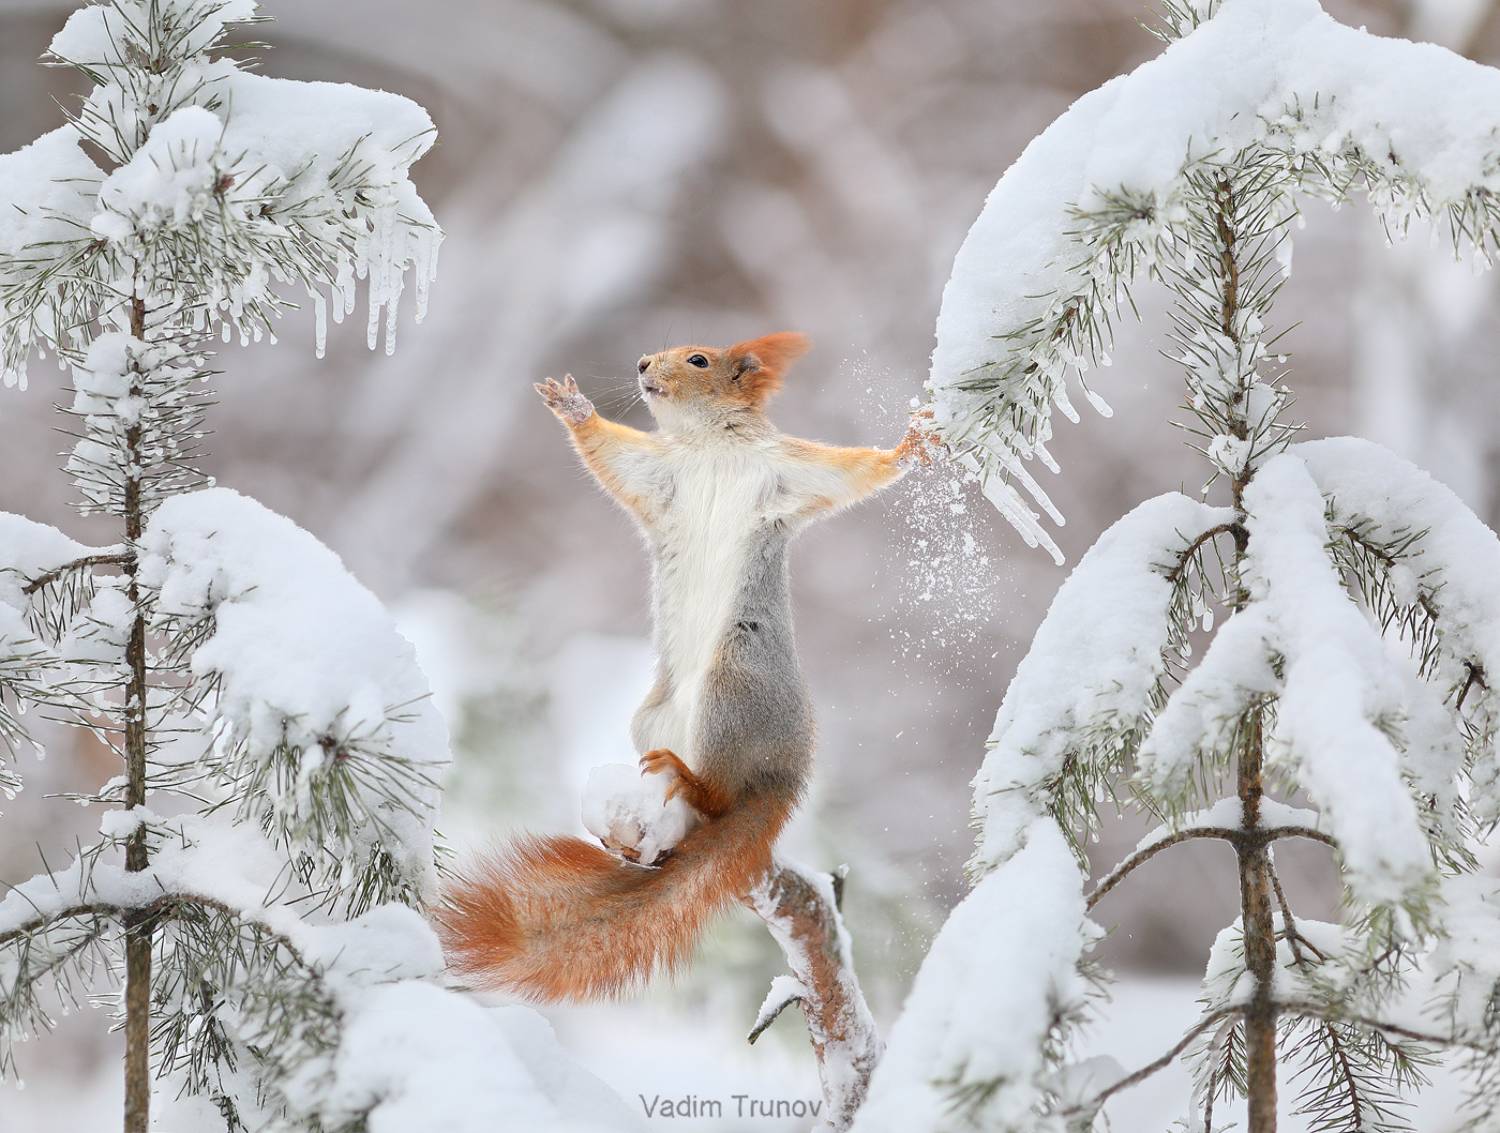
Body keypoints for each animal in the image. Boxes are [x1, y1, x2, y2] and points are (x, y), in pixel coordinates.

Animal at [437, 332, 937, 1002]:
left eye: (699, 359)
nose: (643, 364)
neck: (708, 444)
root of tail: (783, 774)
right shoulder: (658, 475)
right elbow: (612, 456)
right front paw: (573, 406)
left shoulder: (790, 470)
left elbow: (854, 471)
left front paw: (913, 446)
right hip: (652, 715)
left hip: (731, 687)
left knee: (722, 798)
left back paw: (691, 781)